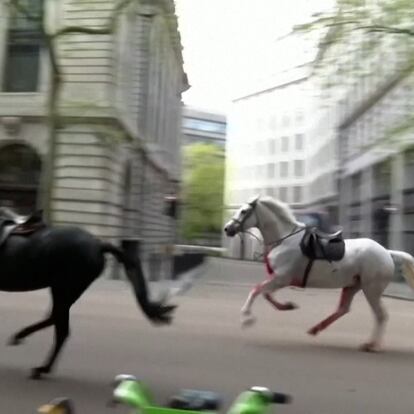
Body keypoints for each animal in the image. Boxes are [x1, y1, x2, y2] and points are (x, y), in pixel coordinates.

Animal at [0, 209, 175, 380]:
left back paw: (38, 364)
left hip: (64, 289)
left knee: (60, 327)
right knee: (57, 322)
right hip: (66, 291)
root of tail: (98, 244)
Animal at [225, 196, 414, 350]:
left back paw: (371, 345)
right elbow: (266, 294)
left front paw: (247, 319)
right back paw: (315, 329)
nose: (228, 228)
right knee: (343, 309)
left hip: (371, 289)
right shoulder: (279, 280)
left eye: (244, 211)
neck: (285, 240)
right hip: (353, 286)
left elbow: (256, 291)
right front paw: (288, 306)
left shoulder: (281, 278)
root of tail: (387, 252)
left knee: (381, 315)